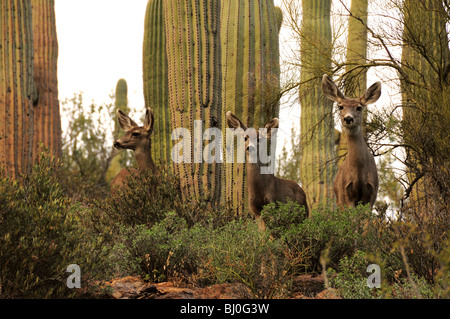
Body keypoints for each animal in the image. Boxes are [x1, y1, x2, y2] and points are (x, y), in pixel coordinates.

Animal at [322, 74, 382, 210]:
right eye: (340, 106)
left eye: (359, 107)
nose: (348, 118)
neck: (359, 171)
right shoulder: (346, 193)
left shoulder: (372, 194)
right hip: (339, 198)